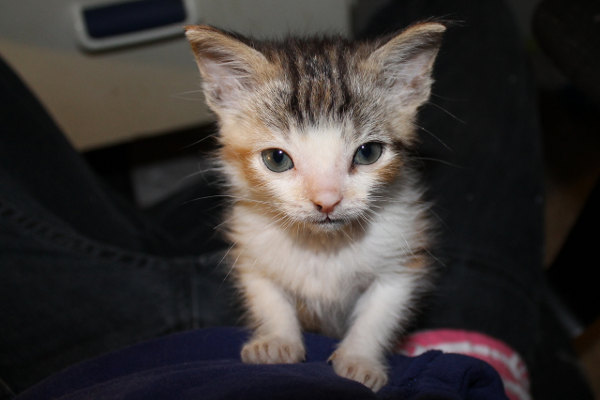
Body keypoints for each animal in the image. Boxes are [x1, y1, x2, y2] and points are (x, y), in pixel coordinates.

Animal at [186, 23, 446, 392]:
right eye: (276, 159)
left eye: (368, 153)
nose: (327, 201)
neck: (323, 245)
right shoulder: (251, 248)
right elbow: (268, 296)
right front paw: (277, 342)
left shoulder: (402, 253)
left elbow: (380, 312)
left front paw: (358, 360)